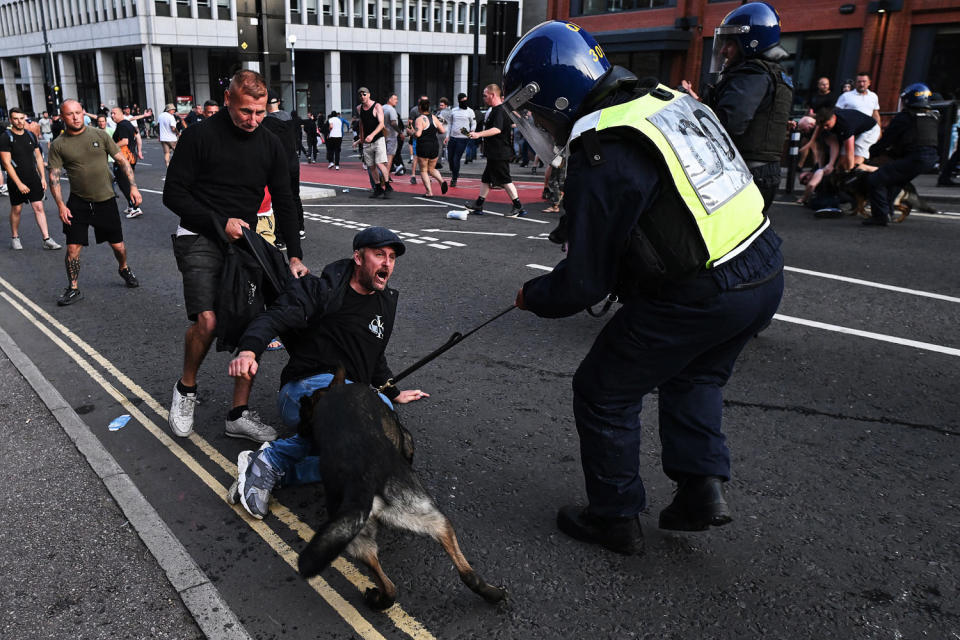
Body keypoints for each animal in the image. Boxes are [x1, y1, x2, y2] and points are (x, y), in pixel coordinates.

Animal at [294, 370, 506, 608]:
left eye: (302, 413)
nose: (298, 431)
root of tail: (363, 478)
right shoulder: (404, 437)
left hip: (362, 535)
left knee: (394, 588)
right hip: (424, 516)